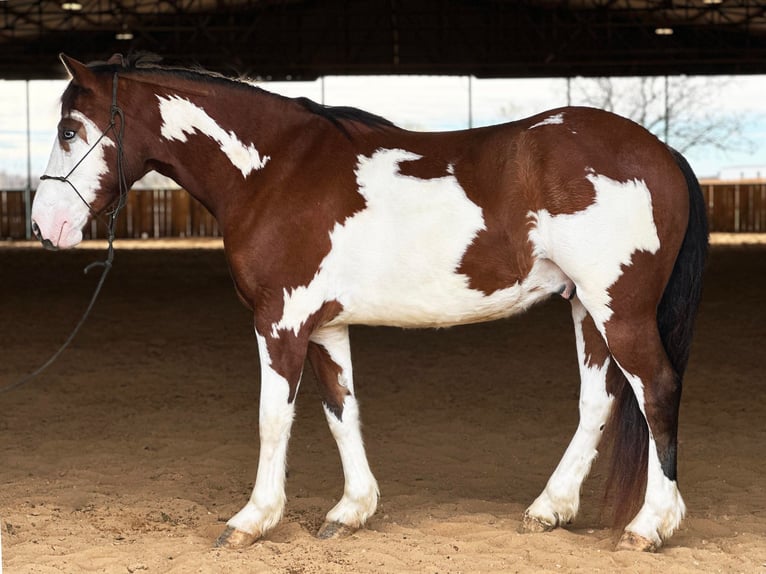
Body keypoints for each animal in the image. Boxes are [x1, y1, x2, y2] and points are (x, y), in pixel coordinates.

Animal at [33, 56, 712, 556]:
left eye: (69, 130)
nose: (45, 226)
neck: (274, 172)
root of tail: (664, 153)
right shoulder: (324, 327)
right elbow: (342, 411)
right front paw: (351, 511)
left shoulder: (280, 322)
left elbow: (273, 419)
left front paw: (252, 519)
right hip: (586, 309)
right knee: (600, 401)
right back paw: (550, 509)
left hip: (619, 309)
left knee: (657, 390)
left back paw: (648, 526)